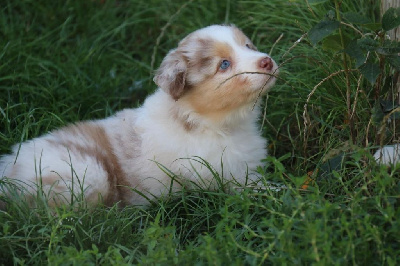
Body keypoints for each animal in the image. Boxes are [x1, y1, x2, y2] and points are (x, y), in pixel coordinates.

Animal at [0, 25, 278, 207]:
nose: (266, 61)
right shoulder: (226, 177)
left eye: (248, 46)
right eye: (224, 64)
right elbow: (263, 190)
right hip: (87, 174)